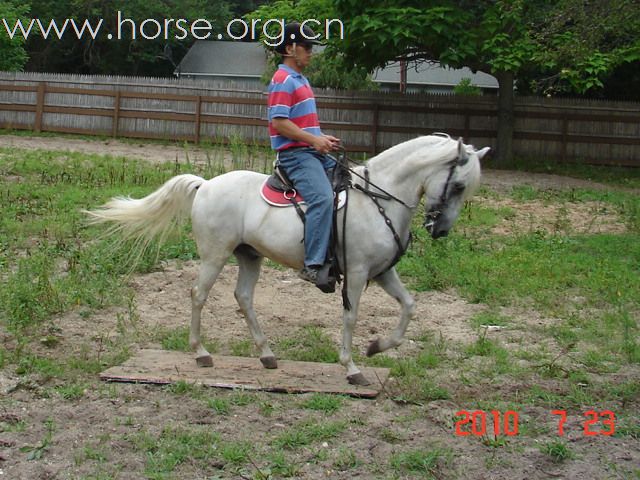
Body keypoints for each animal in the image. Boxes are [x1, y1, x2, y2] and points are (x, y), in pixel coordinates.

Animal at [87, 135, 488, 386]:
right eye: (457, 185)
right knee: (198, 294)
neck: (377, 199)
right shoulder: (358, 273)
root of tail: (206, 184)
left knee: (244, 297)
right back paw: (201, 353)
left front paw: (377, 347)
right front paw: (352, 367)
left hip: (249, 256)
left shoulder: (383, 272)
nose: (440, 230)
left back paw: (266, 355)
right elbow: (351, 317)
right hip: (214, 254)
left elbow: (409, 305)